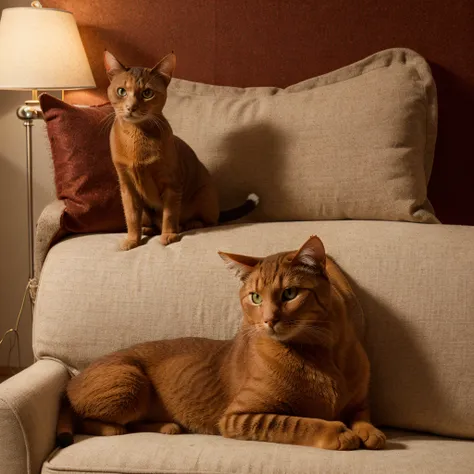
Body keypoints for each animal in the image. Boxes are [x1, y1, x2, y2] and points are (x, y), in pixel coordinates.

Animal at [58, 237, 386, 452]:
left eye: (290, 293)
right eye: (255, 297)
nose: (269, 320)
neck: (321, 351)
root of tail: (72, 379)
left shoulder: (359, 401)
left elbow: (362, 414)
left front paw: (369, 431)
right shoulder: (236, 417)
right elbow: (295, 423)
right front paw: (336, 432)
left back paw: (167, 426)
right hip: (130, 383)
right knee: (83, 418)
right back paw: (111, 426)